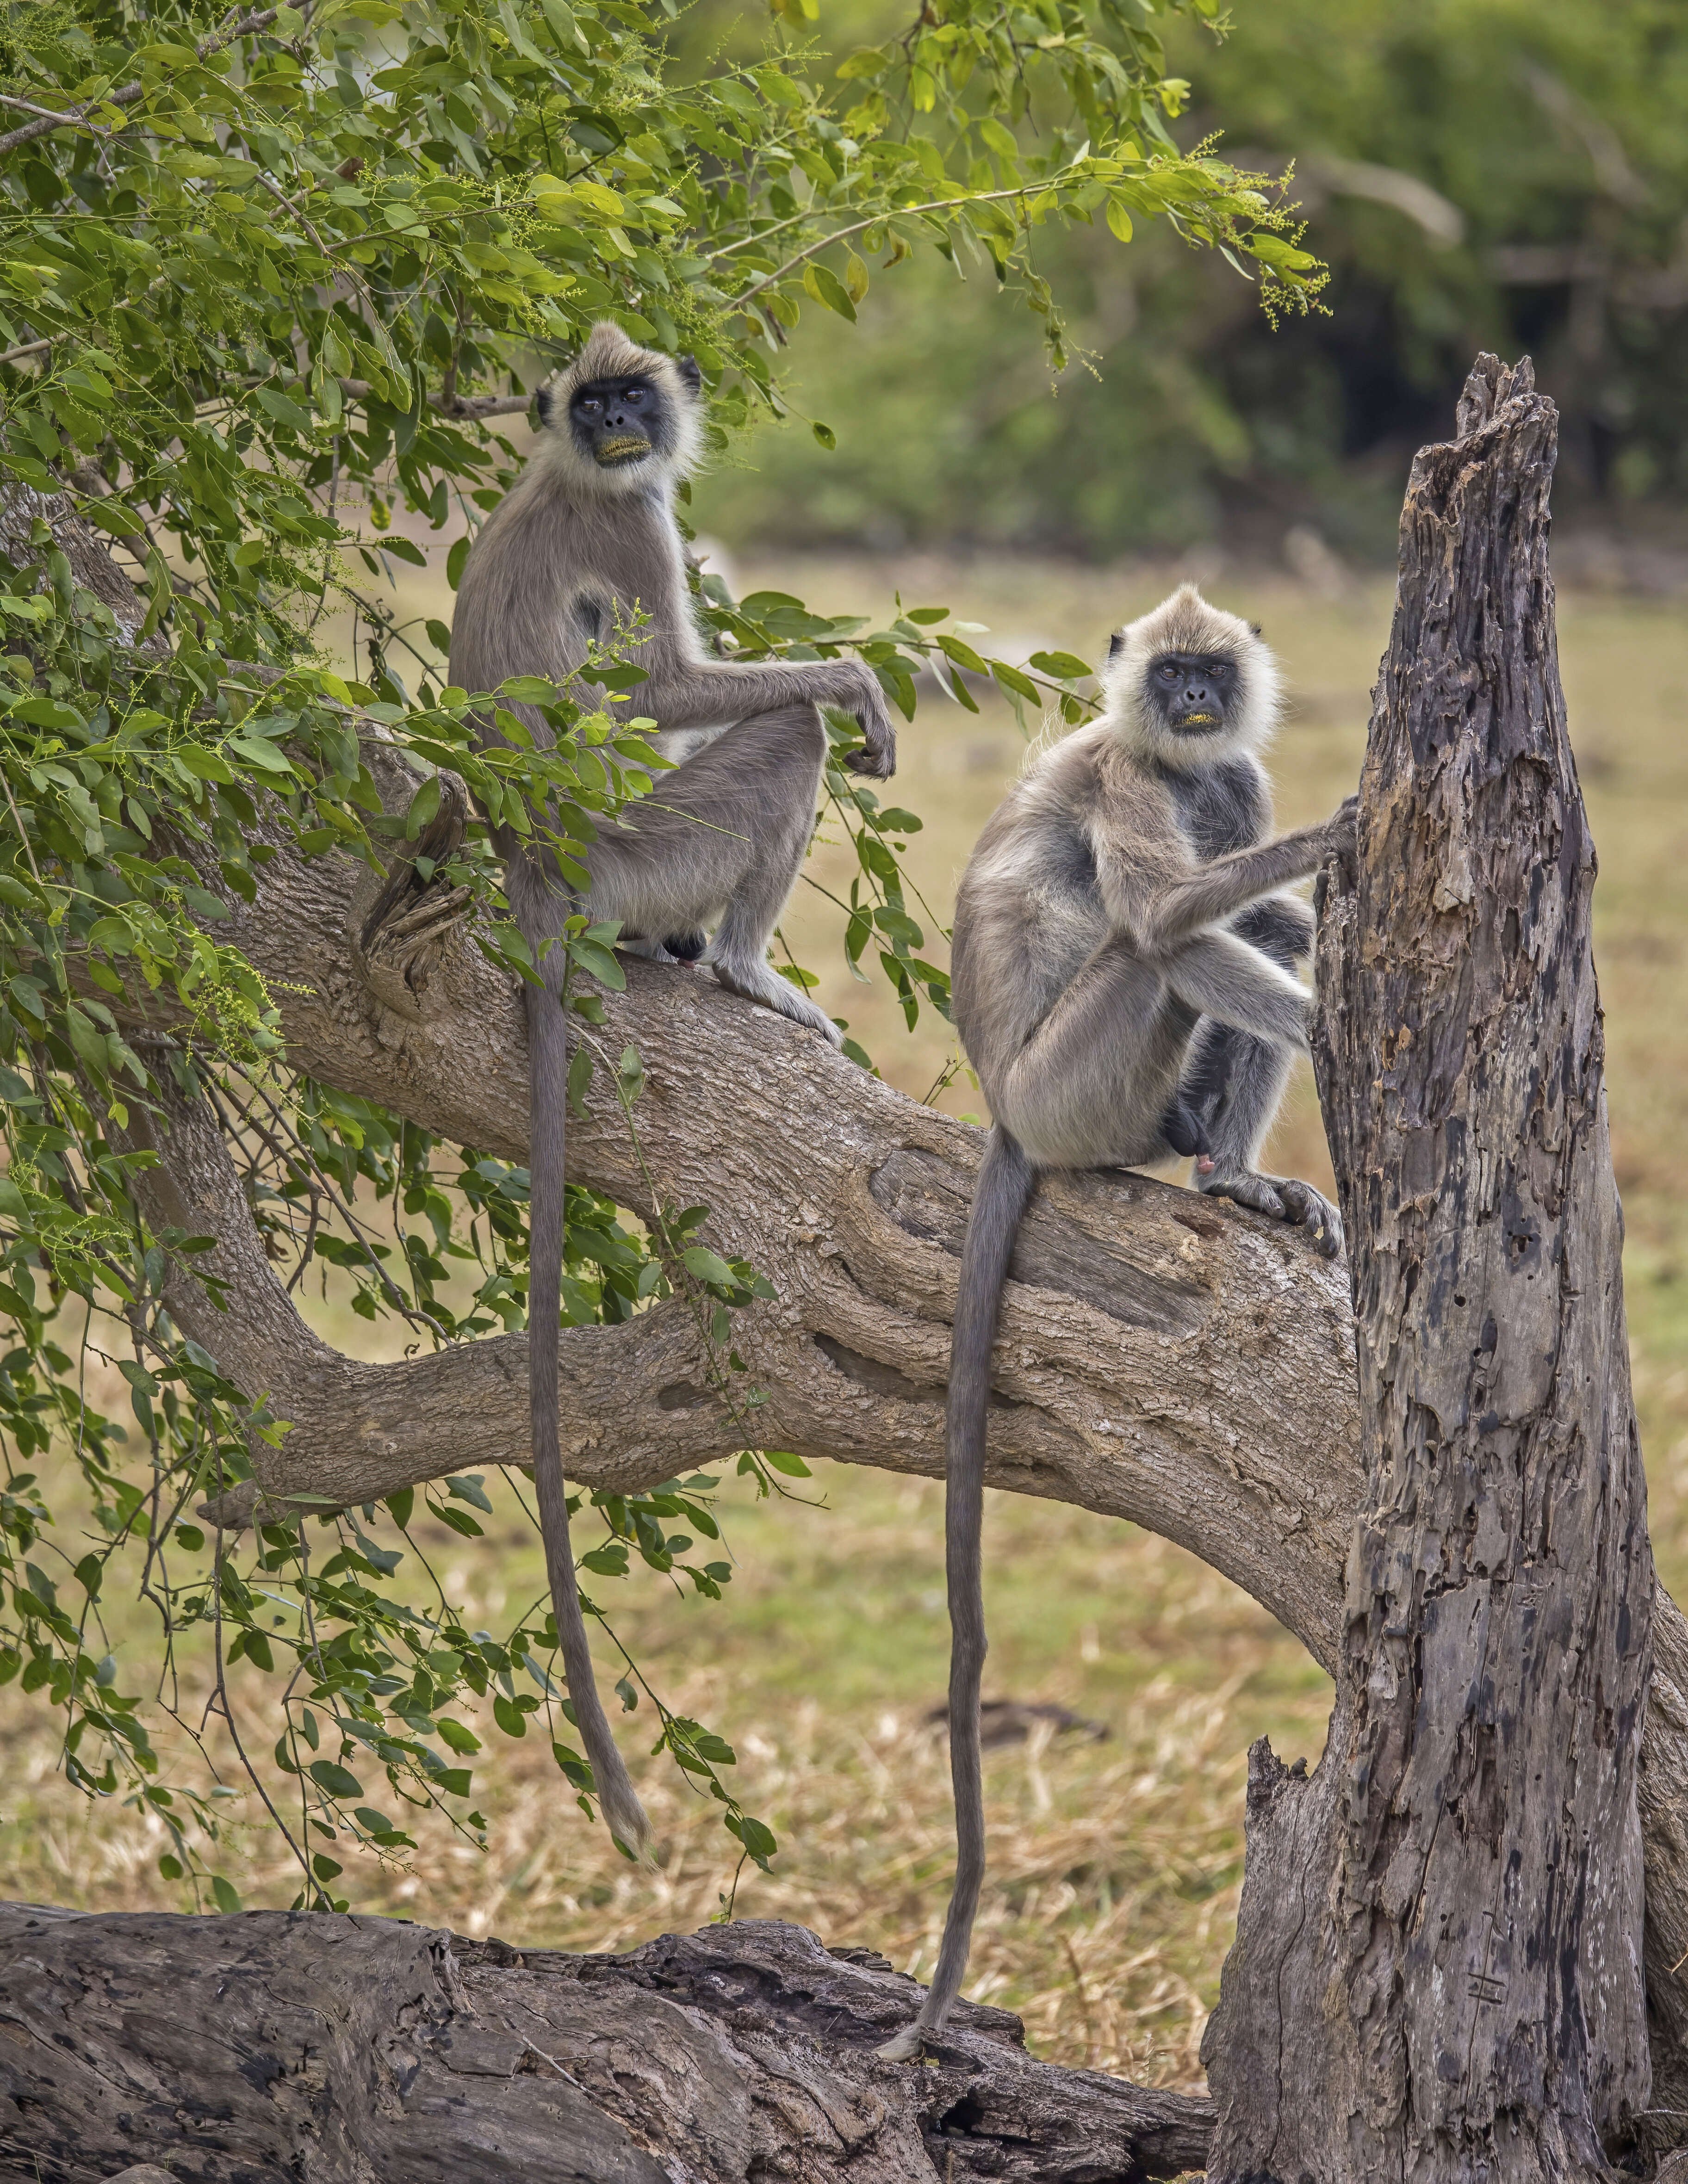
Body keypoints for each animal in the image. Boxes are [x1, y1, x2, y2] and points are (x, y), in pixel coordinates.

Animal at [447, 319, 895, 1861]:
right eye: (594, 406)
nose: (622, 426)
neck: (575, 472)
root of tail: (537, 870)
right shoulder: (628, 525)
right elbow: (663, 686)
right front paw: (853, 681)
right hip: (652, 846)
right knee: (780, 745)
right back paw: (743, 966)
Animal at [878, 589, 1353, 2053]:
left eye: (1212, 675)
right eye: (1172, 673)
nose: (1194, 704)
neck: (1180, 760)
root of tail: (1005, 1109)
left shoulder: (1225, 775)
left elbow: (1245, 872)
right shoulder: (1133, 773)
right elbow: (1163, 906)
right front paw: (1337, 843)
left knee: (1249, 933)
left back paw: (1226, 1172)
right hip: (1078, 1086)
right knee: (1163, 939)